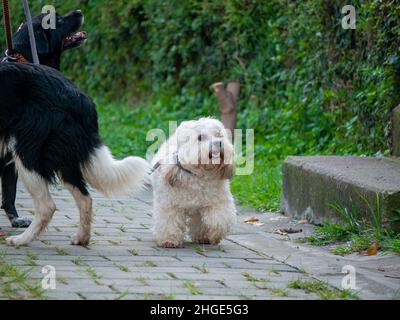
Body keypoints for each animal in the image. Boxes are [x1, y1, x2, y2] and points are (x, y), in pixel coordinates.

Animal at [152, 117, 236, 248]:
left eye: (219, 135)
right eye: (200, 137)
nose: (219, 143)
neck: (198, 175)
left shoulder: (217, 203)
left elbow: (219, 220)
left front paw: (215, 235)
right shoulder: (169, 205)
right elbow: (169, 221)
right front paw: (169, 240)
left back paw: (203, 237)